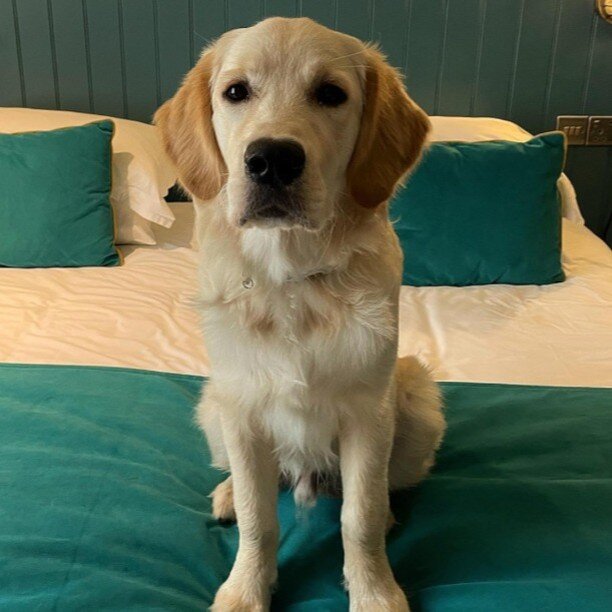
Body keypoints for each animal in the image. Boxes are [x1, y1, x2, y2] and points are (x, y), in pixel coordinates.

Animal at [155, 15, 444, 612]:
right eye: (235, 92)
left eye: (331, 94)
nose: (272, 159)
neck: (291, 282)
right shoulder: (242, 412)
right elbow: (259, 519)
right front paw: (245, 590)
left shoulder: (367, 416)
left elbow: (359, 515)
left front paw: (375, 591)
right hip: (213, 405)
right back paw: (228, 494)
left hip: (418, 400)